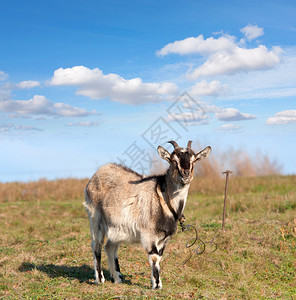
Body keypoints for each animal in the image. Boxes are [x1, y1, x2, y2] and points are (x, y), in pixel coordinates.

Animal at [84, 141, 212, 288]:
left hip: (116, 227)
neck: (164, 198)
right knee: (96, 245)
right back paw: (100, 279)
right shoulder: (149, 234)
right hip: (95, 217)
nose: (186, 175)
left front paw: (157, 282)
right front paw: (156, 285)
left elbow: (160, 256)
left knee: (110, 247)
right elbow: (154, 256)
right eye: (173, 160)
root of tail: (98, 172)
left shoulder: (164, 237)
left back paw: (118, 278)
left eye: (194, 160)